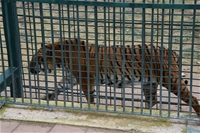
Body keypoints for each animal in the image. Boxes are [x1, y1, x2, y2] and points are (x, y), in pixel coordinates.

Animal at [29, 38, 200, 116]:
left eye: (35, 59)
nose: (28, 68)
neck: (61, 60)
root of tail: (172, 51)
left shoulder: (85, 79)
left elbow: (89, 96)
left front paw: (92, 107)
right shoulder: (70, 78)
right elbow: (57, 88)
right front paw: (45, 98)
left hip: (170, 80)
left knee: (192, 98)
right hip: (149, 84)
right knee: (153, 101)